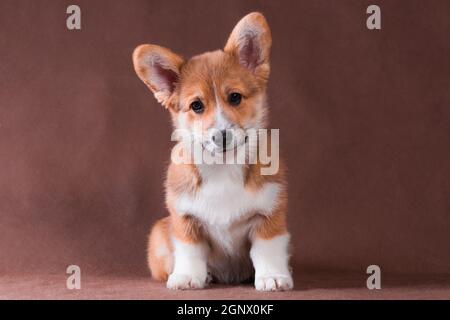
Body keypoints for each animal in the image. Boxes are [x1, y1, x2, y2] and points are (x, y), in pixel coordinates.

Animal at [132, 12, 294, 292]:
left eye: (235, 97)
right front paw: (188, 276)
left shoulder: (269, 216)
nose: (222, 135)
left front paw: (273, 276)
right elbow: (190, 251)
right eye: (196, 105)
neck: (223, 166)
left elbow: (266, 250)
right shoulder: (184, 219)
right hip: (160, 232)